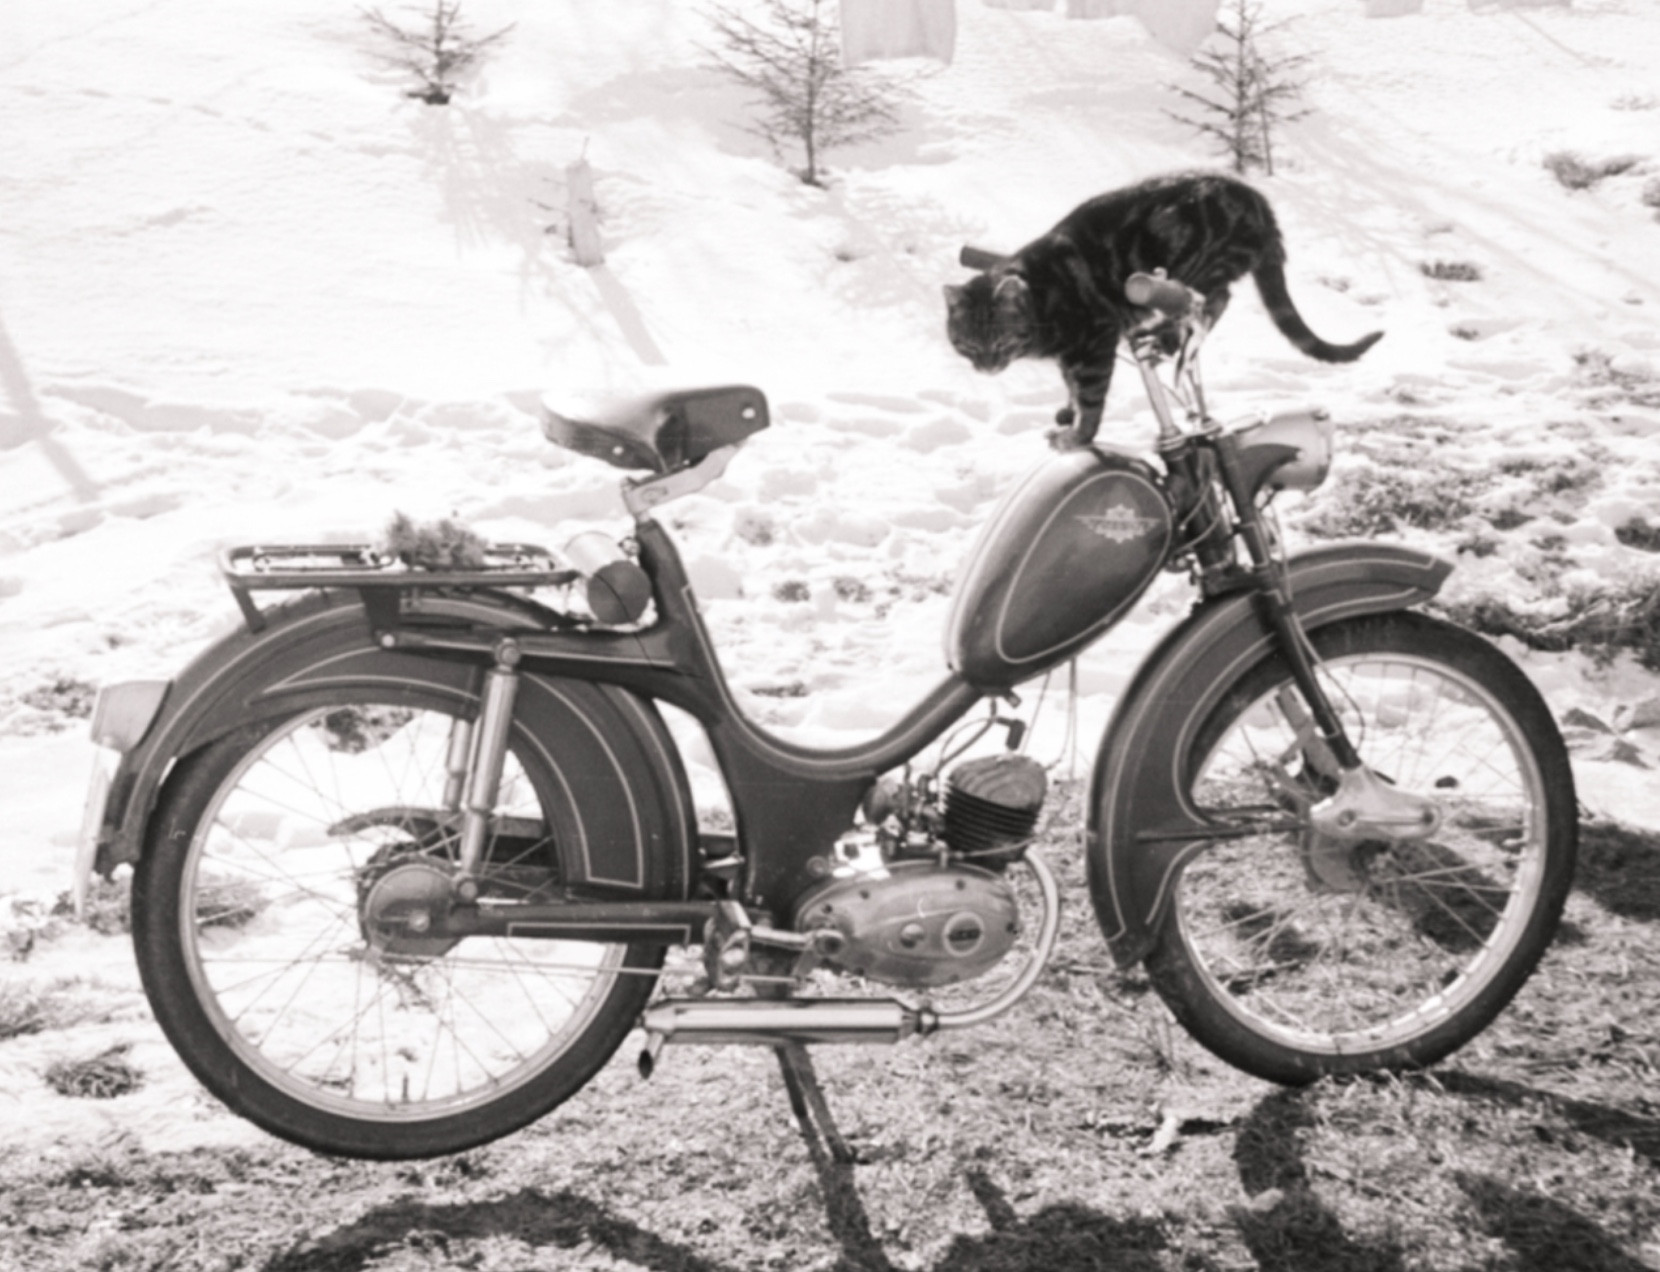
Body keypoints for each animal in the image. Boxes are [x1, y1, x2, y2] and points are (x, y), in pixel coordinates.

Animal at [942, 169, 1381, 448]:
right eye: (968, 345)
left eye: (999, 343)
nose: (986, 368)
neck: (1040, 296)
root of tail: (1258, 201)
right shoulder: (1073, 355)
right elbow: (1072, 391)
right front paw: (1068, 418)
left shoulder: (1095, 340)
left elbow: (1090, 399)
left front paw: (1080, 436)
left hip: (1197, 266)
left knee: (1215, 300)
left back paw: (1167, 331)